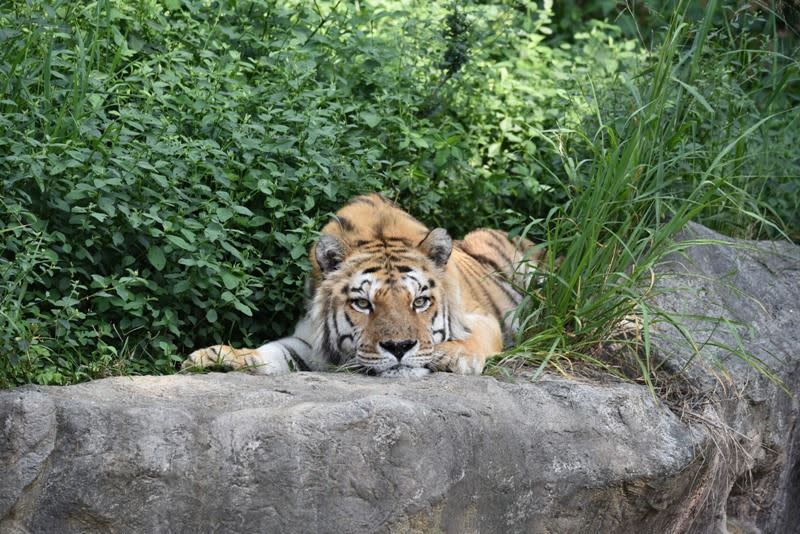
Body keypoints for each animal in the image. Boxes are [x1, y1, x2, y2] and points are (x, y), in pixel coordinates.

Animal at [184, 195, 540, 378]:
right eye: (363, 303)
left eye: (419, 302)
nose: (399, 348)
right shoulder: (309, 340)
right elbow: (272, 351)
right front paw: (219, 357)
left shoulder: (479, 318)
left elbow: (477, 337)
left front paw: (454, 357)